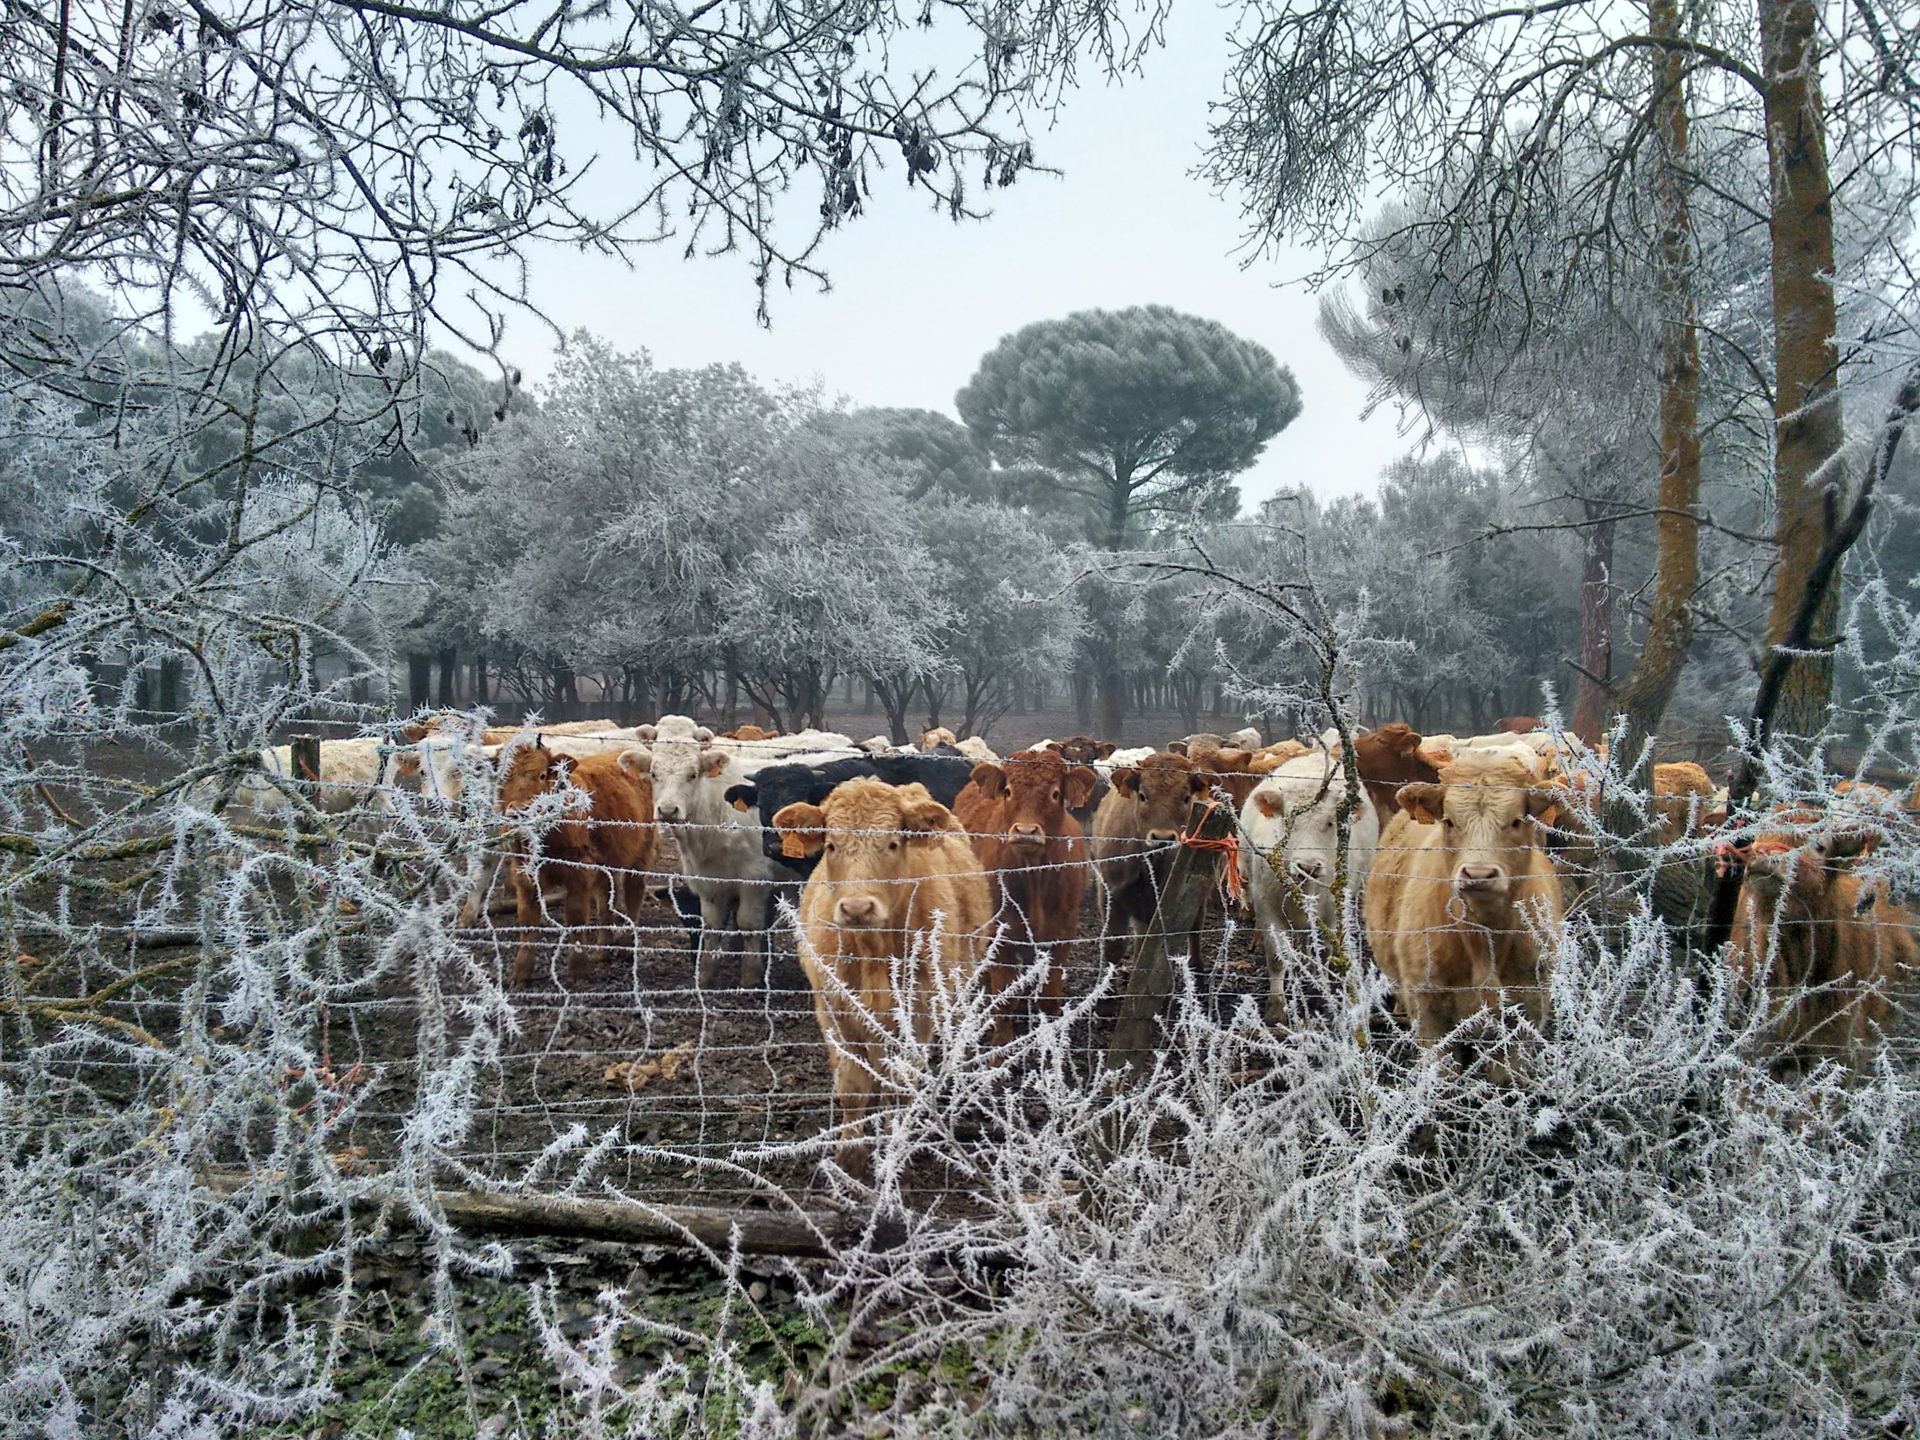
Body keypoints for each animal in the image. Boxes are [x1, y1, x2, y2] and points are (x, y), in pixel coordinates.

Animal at [493, 741, 657, 989]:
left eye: (542, 775)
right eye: (504, 778)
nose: (520, 811)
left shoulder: (579, 871)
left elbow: (576, 917)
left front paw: (578, 970)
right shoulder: (525, 876)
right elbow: (527, 922)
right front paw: (521, 973)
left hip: (642, 852)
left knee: (633, 895)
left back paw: (628, 947)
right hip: (606, 862)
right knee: (605, 899)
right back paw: (603, 948)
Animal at [773, 779, 994, 1180]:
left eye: (893, 843)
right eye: (831, 845)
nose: (857, 908)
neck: (872, 951)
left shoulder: (918, 1012)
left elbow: (903, 1085)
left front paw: (894, 1148)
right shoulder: (834, 1009)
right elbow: (851, 1085)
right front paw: (851, 1155)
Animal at [952, 750, 1099, 1036]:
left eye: (1056, 794)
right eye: (1008, 791)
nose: (1026, 832)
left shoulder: (1062, 933)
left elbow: (1049, 997)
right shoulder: (1000, 932)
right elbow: (1002, 999)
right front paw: (1000, 1045)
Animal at [1090, 752, 1211, 968]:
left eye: (1186, 798)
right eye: (1142, 795)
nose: (1162, 837)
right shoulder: (1111, 893)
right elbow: (1114, 946)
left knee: (1194, 927)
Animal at [1238, 753, 1381, 1022]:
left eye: (1331, 822)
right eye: (1288, 820)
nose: (1308, 866)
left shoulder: (1332, 911)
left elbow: (1324, 951)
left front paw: (1321, 992)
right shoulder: (1266, 906)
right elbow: (1277, 954)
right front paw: (1276, 1007)